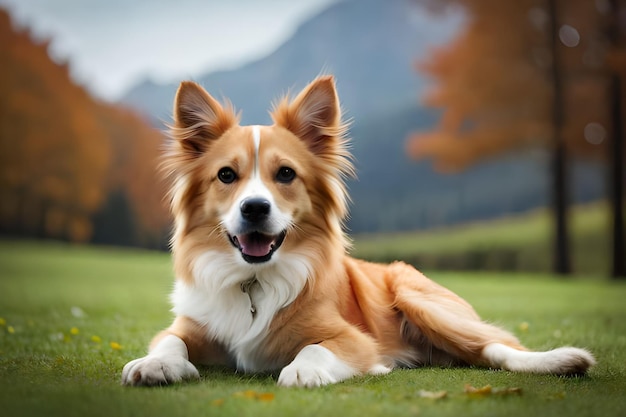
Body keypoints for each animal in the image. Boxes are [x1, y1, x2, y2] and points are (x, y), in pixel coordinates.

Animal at [119, 75, 592, 386]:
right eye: (226, 175)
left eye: (286, 173)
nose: (254, 208)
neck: (255, 281)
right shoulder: (188, 324)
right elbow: (169, 341)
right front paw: (155, 364)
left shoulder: (352, 338)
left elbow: (315, 347)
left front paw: (304, 369)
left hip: (417, 296)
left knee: (495, 347)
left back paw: (562, 360)